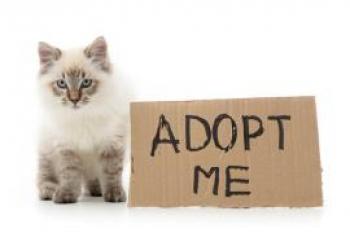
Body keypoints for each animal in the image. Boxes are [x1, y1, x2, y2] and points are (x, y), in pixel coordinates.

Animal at [37, 36, 127, 204]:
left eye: (86, 83)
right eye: (61, 83)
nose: (74, 100)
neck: (83, 115)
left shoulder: (112, 142)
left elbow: (112, 172)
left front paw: (114, 194)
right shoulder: (66, 146)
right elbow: (69, 173)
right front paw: (66, 195)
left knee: (93, 179)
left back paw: (97, 190)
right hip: (46, 153)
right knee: (44, 176)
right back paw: (49, 191)